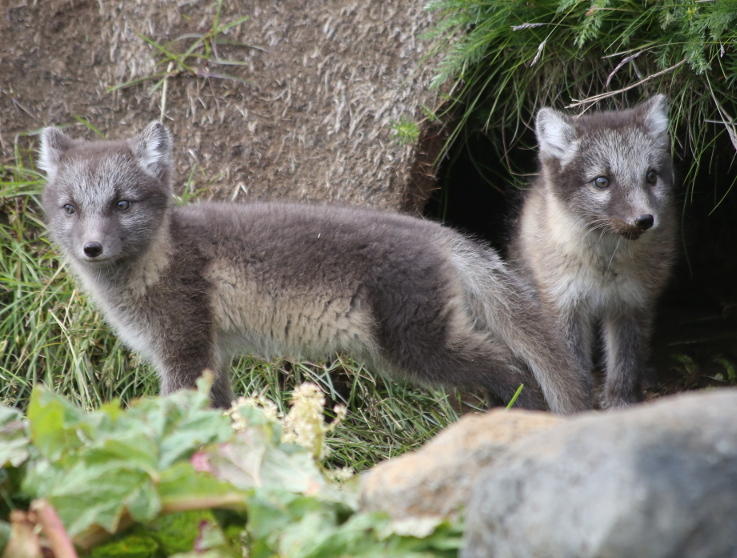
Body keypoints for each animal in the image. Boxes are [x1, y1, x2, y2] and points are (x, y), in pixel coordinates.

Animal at [38, 122, 592, 414]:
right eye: (70, 208)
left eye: (122, 204)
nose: (91, 248)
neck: (163, 258)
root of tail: (438, 233)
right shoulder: (213, 355)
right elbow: (221, 414)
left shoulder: (185, 350)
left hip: (418, 347)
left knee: (512, 366)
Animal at [508, 96, 676, 410]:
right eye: (601, 181)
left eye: (651, 177)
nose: (645, 220)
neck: (604, 266)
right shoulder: (563, 305)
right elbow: (570, 366)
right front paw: (577, 408)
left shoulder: (633, 302)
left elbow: (625, 362)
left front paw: (622, 404)